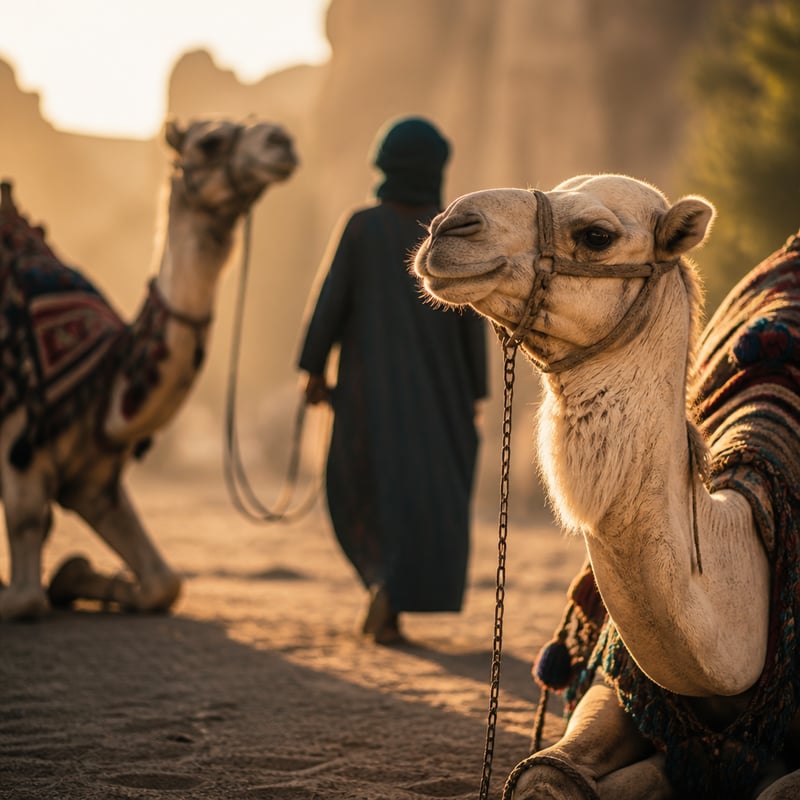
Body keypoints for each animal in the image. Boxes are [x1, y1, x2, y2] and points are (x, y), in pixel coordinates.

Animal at [0, 117, 297, 622]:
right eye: (211, 141)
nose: (283, 141)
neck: (101, 382)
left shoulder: (96, 483)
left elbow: (164, 584)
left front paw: (75, 575)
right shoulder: (18, 450)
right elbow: (23, 596)